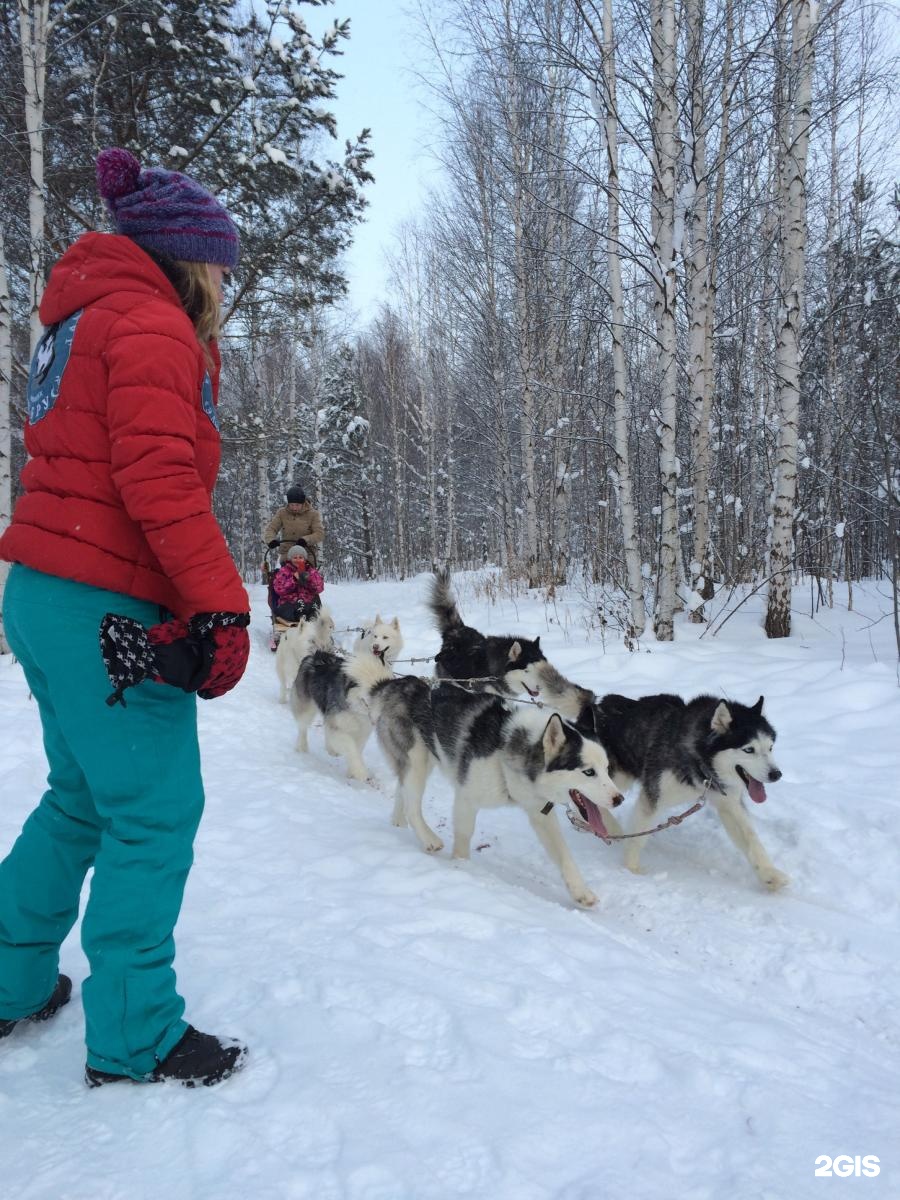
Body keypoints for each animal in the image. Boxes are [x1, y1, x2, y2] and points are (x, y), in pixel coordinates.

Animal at [290, 614, 403, 782]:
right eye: (371, 688)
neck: (355, 709)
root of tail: (318, 654)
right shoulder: (339, 727)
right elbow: (351, 748)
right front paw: (360, 771)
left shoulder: (362, 731)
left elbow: (357, 748)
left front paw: (351, 771)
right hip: (306, 706)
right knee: (303, 726)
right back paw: (302, 746)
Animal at [369, 681, 624, 902]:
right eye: (588, 772)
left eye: (607, 769)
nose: (619, 799)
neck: (508, 747)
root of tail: (400, 683)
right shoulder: (467, 797)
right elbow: (464, 836)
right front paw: (460, 866)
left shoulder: (539, 811)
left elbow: (564, 854)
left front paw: (581, 891)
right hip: (416, 761)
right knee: (413, 805)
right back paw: (428, 838)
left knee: (403, 792)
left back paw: (399, 823)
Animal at [585, 696, 787, 892]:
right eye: (749, 750)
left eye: (770, 747)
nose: (776, 774)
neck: (701, 763)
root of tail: (597, 705)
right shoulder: (653, 795)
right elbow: (638, 838)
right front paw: (631, 868)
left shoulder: (728, 802)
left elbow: (751, 837)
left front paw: (770, 874)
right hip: (610, 777)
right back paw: (611, 828)